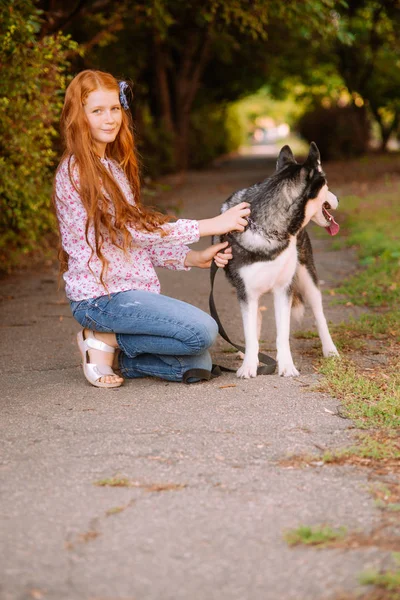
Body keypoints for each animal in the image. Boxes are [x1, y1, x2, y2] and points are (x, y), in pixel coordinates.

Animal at [216, 142, 340, 378]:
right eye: (327, 184)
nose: (337, 199)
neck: (267, 228)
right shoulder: (246, 292)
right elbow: (250, 331)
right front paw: (249, 364)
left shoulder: (284, 289)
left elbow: (283, 333)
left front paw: (286, 366)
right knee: (256, 320)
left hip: (307, 278)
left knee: (319, 315)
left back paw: (330, 349)